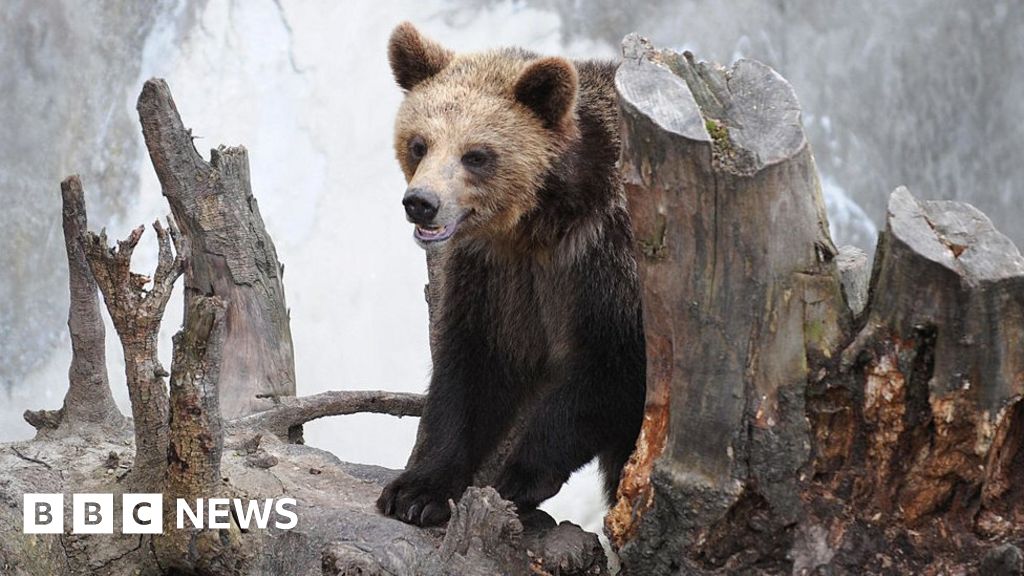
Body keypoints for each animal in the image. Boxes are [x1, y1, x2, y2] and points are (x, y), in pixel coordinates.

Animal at [376, 22, 646, 527]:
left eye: (476, 155)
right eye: (419, 143)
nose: (421, 202)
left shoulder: (610, 262)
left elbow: (612, 367)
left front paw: (520, 476)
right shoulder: (498, 276)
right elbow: (475, 367)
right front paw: (416, 491)